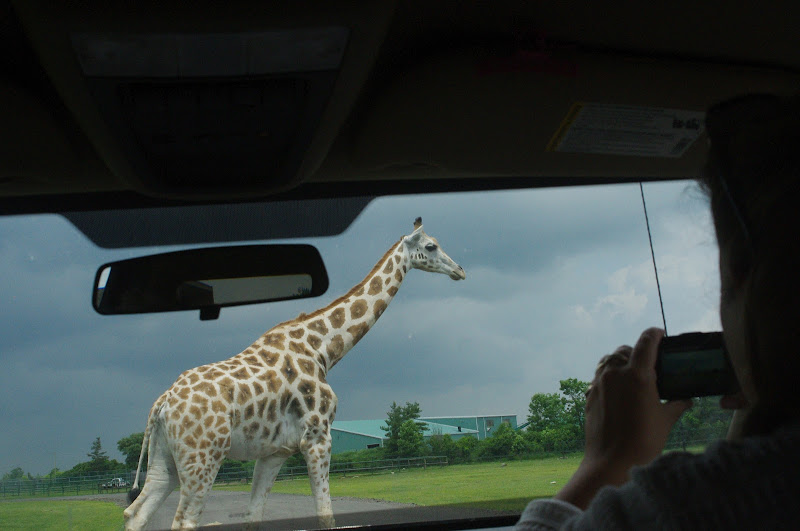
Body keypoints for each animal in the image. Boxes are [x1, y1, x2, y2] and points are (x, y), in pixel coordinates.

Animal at [123, 217, 465, 530]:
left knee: (135, 512)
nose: (459, 270)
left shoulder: (275, 452)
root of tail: (162, 403)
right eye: (431, 246)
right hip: (203, 456)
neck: (323, 349)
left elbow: (253, 516)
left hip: (165, 460)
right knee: (183, 521)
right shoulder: (317, 436)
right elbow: (326, 515)